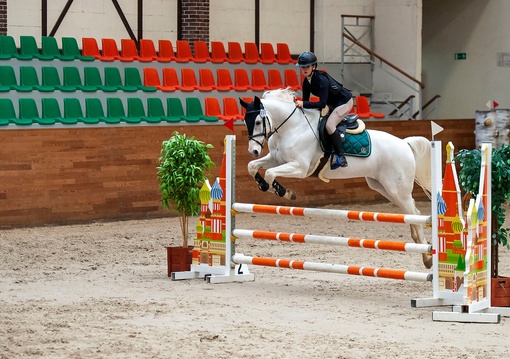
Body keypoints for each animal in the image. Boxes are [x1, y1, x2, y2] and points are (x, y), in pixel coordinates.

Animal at [241, 89, 432, 270]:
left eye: (257, 122)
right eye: (245, 121)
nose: (253, 150)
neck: (292, 127)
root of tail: (404, 143)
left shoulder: (300, 167)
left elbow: (270, 173)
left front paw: (284, 192)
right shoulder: (276, 159)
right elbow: (252, 166)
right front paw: (265, 185)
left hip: (397, 188)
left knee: (415, 213)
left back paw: (427, 256)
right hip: (383, 187)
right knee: (412, 212)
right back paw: (419, 246)